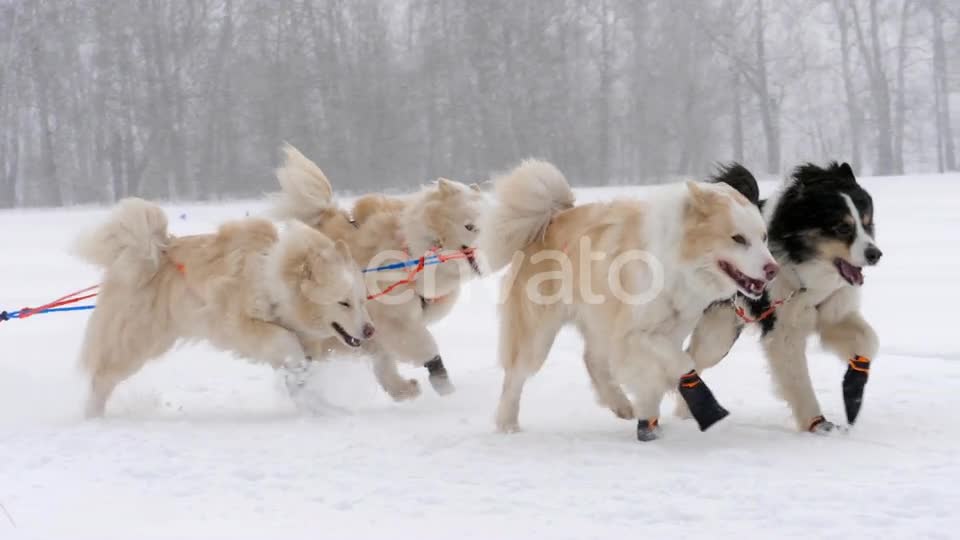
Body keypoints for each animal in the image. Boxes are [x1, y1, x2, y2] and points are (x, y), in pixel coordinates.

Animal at [75, 198, 374, 418]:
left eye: (361, 301)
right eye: (343, 302)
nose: (370, 330)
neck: (274, 277)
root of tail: (156, 249)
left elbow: (300, 371)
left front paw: (316, 400)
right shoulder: (241, 323)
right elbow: (286, 343)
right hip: (135, 340)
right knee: (102, 378)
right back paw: (92, 416)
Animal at [272, 143, 488, 400]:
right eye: (469, 226)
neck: (414, 250)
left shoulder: (379, 330)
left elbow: (384, 359)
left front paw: (407, 389)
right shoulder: (394, 319)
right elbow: (426, 349)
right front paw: (447, 390)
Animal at [480, 159, 780, 438]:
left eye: (764, 237)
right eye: (738, 239)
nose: (773, 270)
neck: (678, 266)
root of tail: (552, 217)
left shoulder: (670, 329)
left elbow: (667, 365)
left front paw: (650, 421)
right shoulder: (632, 333)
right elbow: (679, 362)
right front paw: (691, 400)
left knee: (592, 360)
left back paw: (621, 405)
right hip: (538, 333)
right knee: (515, 376)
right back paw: (507, 424)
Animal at [688, 162, 880, 432]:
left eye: (867, 223)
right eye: (843, 228)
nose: (875, 254)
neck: (803, 267)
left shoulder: (833, 312)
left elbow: (868, 340)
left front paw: (853, 391)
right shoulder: (783, 328)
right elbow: (798, 378)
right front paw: (817, 423)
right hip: (719, 330)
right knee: (693, 357)